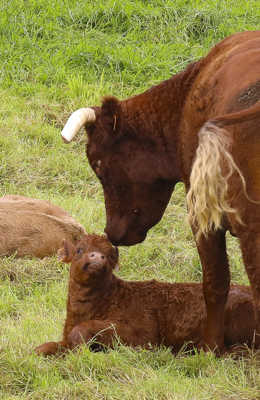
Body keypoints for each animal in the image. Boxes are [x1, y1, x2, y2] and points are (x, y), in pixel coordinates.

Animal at [35, 234, 256, 356]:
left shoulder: (142, 334)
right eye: (80, 250)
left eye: (109, 254)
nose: (97, 257)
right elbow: (47, 346)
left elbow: (85, 329)